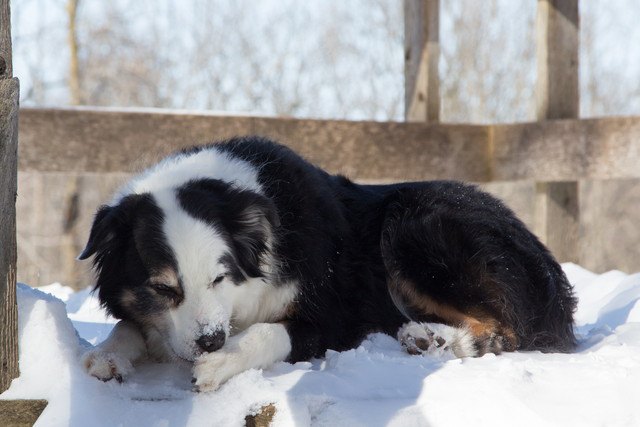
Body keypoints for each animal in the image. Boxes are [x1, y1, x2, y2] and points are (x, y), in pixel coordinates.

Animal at [77, 137, 576, 392]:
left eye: (220, 278)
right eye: (164, 289)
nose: (211, 341)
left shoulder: (338, 315)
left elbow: (269, 331)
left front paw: (223, 361)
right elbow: (129, 326)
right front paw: (107, 355)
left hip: (413, 224)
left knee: (509, 330)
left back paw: (435, 339)